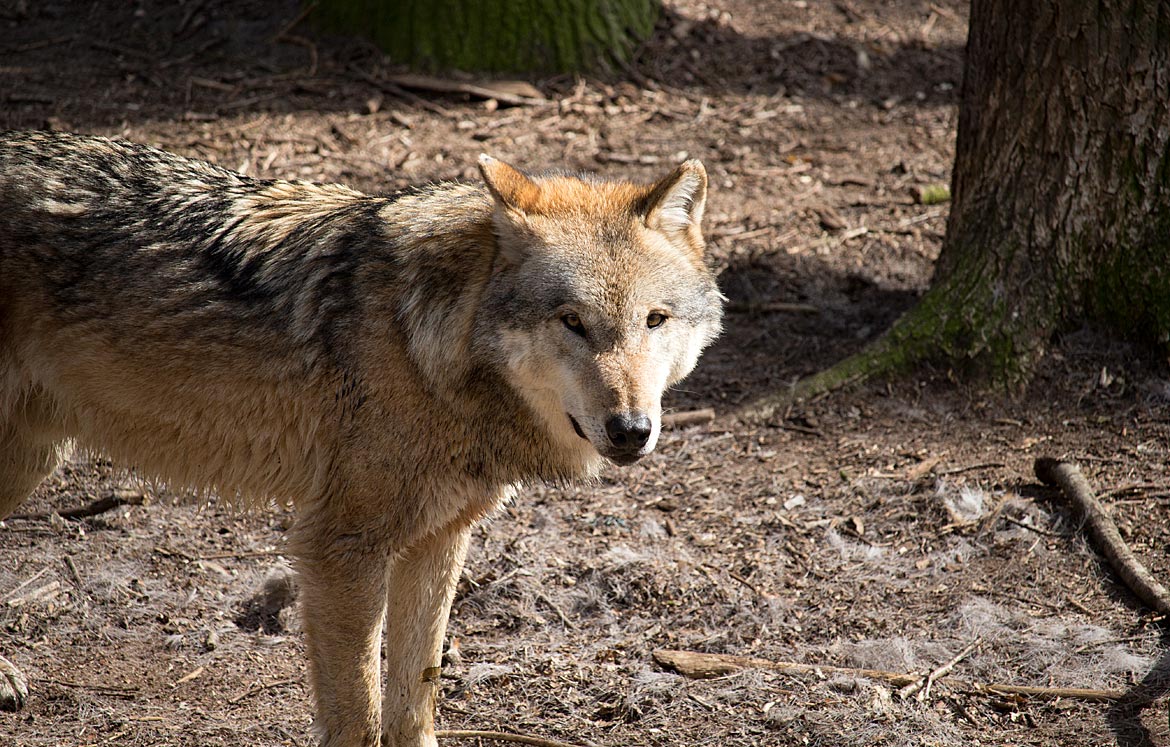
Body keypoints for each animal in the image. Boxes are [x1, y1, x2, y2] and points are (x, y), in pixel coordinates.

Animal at [0, 131, 720, 744]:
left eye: (654, 319)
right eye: (571, 320)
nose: (631, 430)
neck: (424, 343)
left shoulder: (439, 539)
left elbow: (415, 696)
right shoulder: (342, 550)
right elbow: (360, 714)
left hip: (33, 456)